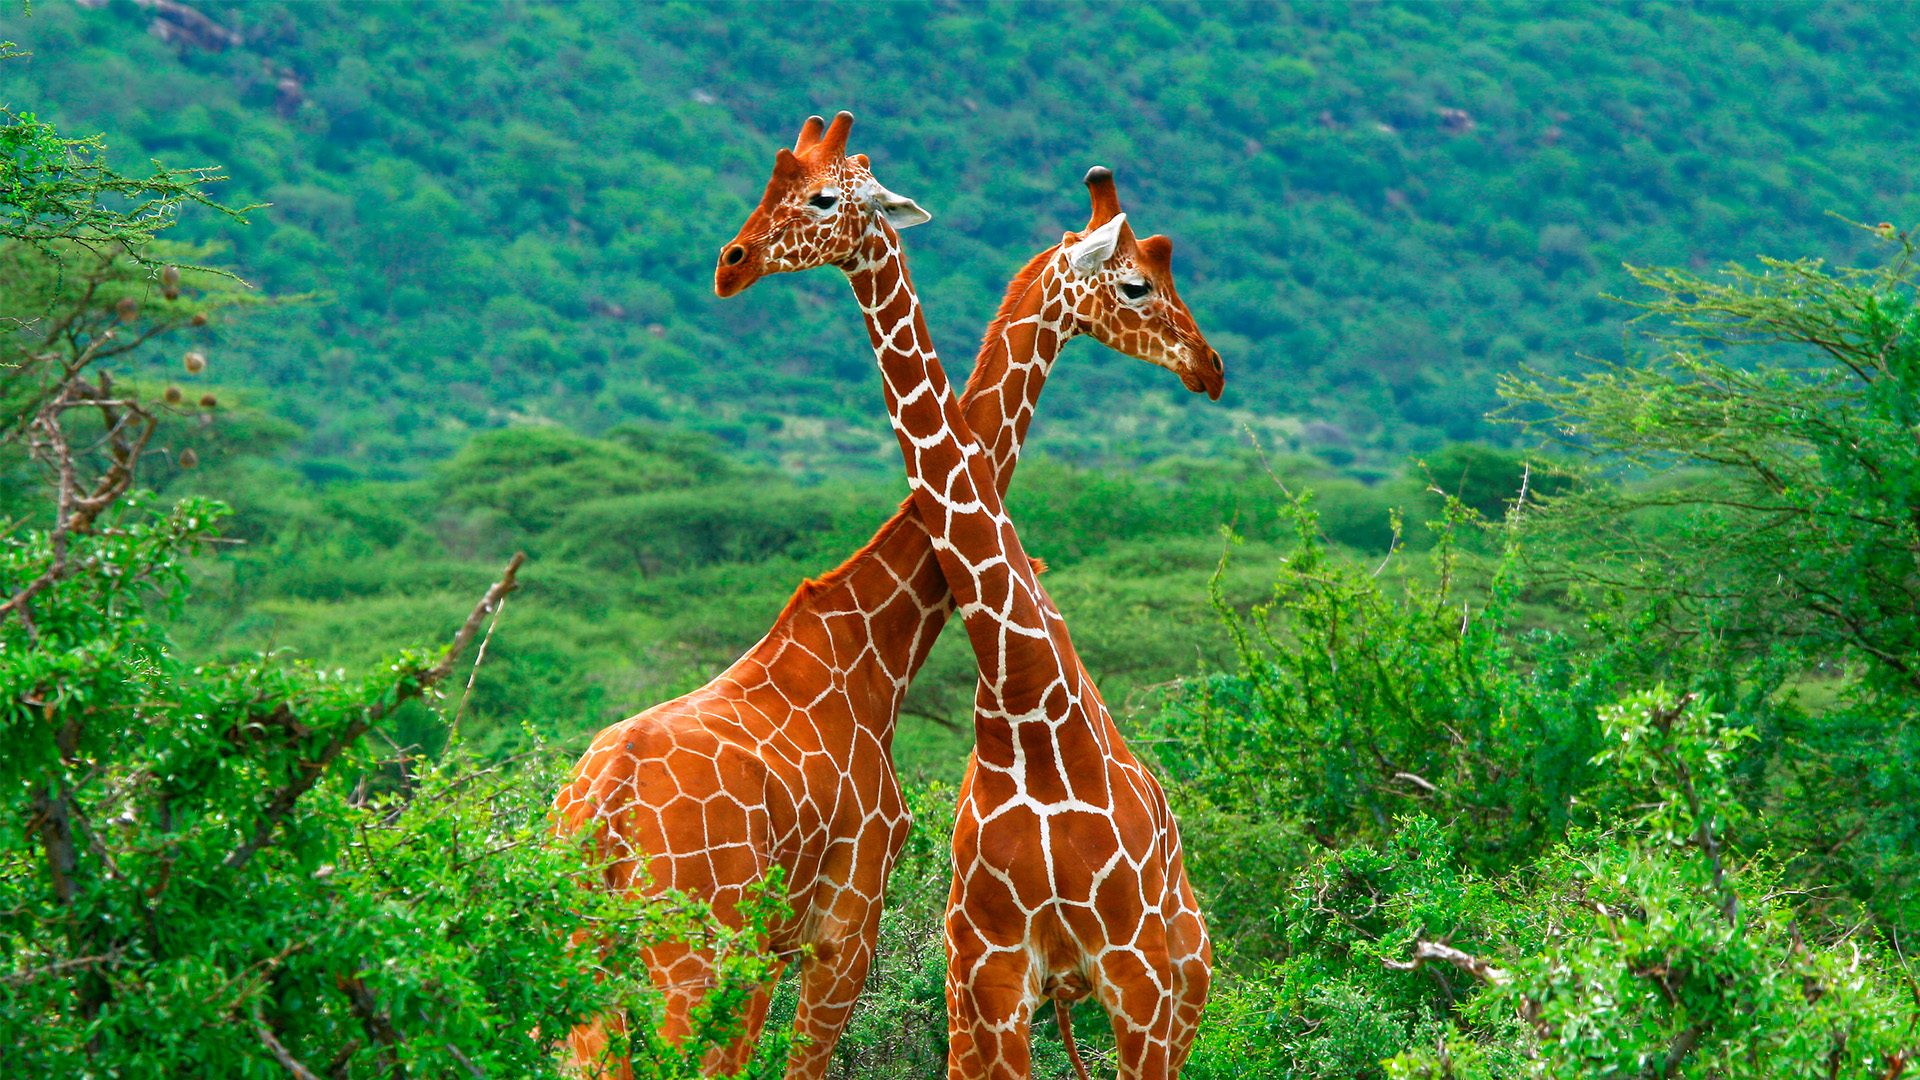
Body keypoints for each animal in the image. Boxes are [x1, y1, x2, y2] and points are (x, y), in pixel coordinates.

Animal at [557, 111, 1220, 1079]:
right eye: (1138, 283)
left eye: (821, 195)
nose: (1208, 365)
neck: (875, 644)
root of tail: (602, 807)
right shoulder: (852, 929)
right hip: (691, 949)